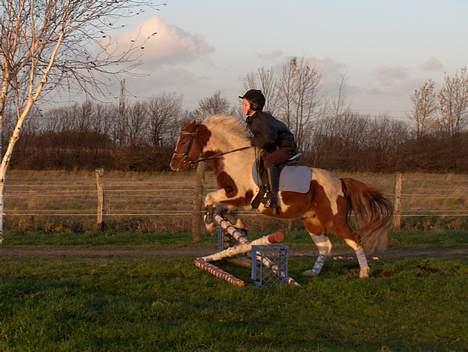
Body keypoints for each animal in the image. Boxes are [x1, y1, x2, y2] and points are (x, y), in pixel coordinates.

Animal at [170, 115, 394, 278]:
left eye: (184, 140)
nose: (174, 164)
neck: (234, 157)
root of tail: (340, 181)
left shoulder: (240, 195)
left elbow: (209, 198)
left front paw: (209, 224)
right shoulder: (236, 199)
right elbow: (218, 206)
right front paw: (224, 224)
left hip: (335, 220)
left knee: (354, 239)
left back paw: (364, 272)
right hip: (312, 221)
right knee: (325, 246)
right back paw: (312, 272)